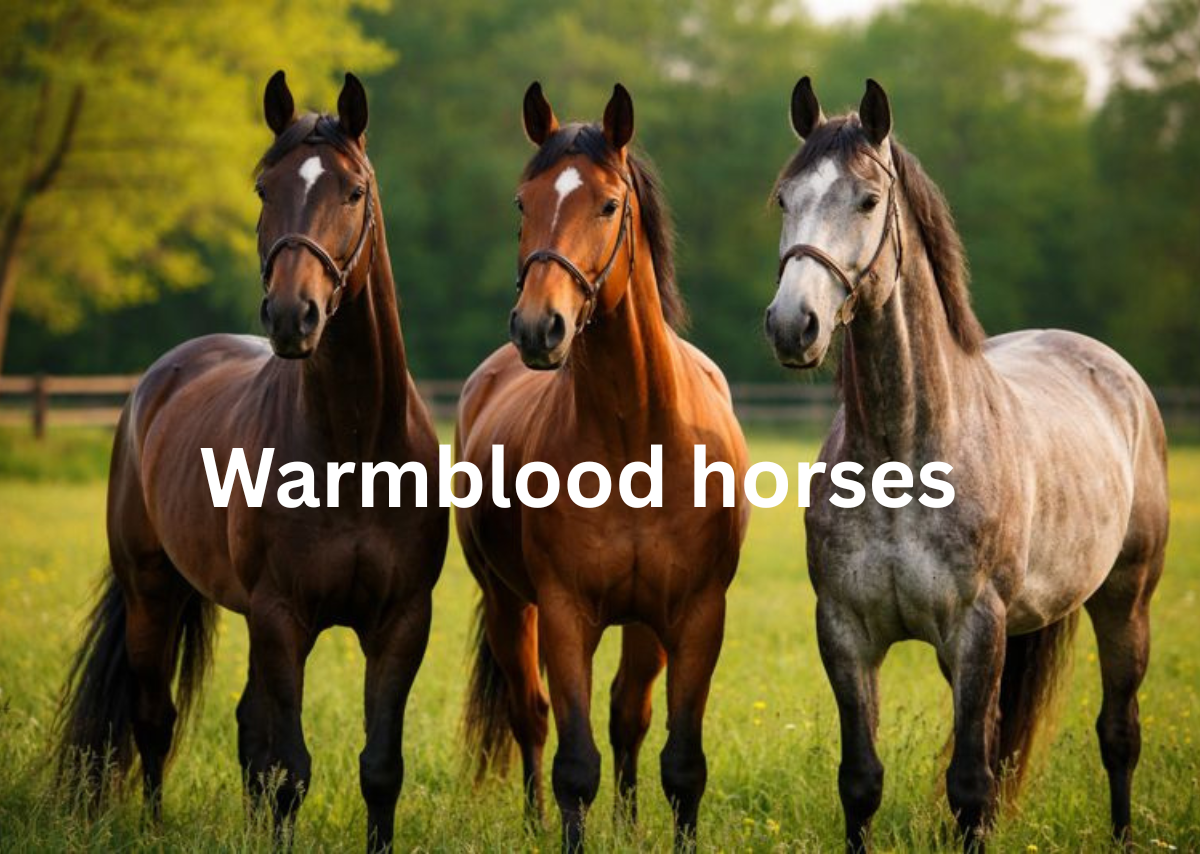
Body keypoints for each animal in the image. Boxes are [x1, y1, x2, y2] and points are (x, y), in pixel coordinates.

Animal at [54, 71, 448, 852]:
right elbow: (289, 768)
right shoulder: (280, 615)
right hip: (153, 592)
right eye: (265, 188)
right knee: (157, 719)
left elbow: (378, 767)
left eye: (353, 191)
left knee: (245, 728)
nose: (292, 316)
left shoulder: (401, 621)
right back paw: (152, 826)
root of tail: (156, 382)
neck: (355, 446)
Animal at [456, 82, 749, 851]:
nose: (539, 327)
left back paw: (627, 818)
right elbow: (574, 764)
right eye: (522, 201)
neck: (635, 442)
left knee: (627, 715)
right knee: (529, 715)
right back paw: (533, 820)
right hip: (510, 604)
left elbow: (680, 763)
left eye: (609, 204)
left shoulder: (696, 616)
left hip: (644, 626)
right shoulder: (564, 614)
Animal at [764, 77, 1168, 852]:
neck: (903, 456)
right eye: (784, 198)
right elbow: (861, 782)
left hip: (1124, 602)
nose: (792, 326)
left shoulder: (976, 631)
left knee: (1119, 734)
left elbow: (970, 787)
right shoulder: (845, 634)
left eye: (868, 200)